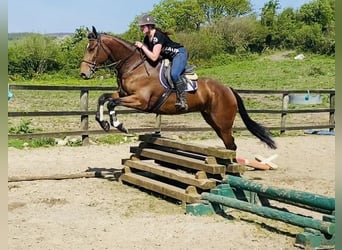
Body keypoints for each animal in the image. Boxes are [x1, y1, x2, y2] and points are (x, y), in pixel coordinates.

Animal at [79, 26, 276, 150]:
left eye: (92, 48)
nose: (83, 74)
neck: (133, 66)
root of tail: (228, 89)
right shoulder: (123, 94)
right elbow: (103, 98)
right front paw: (104, 123)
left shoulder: (141, 101)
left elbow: (112, 103)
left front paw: (119, 126)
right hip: (212, 120)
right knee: (229, 144)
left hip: (223, 122)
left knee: (231, 144)